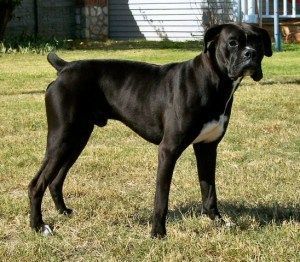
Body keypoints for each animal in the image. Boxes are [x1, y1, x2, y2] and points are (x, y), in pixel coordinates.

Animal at [27, 23, 272, 237]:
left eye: (257, 43)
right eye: (233, 43)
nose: (250, 54)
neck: (212, 79)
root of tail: (65, 68)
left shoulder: (207, 148)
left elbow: (209, 189)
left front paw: (217, 221)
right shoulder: (168, 150)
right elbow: (161, 197)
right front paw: (158, 233)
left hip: (76, 140)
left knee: (55, 180)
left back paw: (63, 211)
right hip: (62, 139)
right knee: (36, 184)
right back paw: (39, 226)